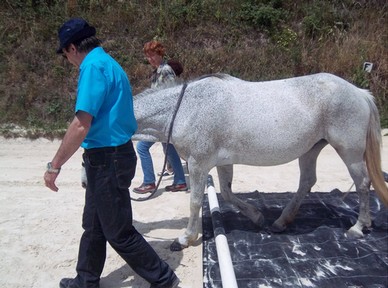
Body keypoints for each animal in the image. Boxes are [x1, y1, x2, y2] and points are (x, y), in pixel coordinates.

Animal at [132, 73, 386, 251]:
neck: (187, 108)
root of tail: (359, 92)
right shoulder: (222, 162)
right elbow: (227, 193)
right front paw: (257, 217)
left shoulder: (198, 164)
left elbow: (195, 202)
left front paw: (185, 238)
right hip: (311, 149)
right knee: (307, 181)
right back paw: (280, 222)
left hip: (349, 151)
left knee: (363, 183)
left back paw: (358, 227)